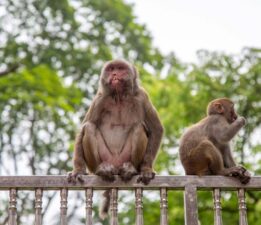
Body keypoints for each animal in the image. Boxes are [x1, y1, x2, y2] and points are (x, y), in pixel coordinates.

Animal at [67, 59, 162, 217]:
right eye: (111, 69)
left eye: (120, 68)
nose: (115, 74)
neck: (119, 96)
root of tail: (116, 166)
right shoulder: (99, 99)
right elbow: (83, 128)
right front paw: (78, 171)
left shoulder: (142, 96)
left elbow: (156, 129)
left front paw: (146, 169)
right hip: (104, 160)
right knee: (90, 127)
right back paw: (101, 169)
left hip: (124, 159)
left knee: (138, 127)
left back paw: (130, 168)